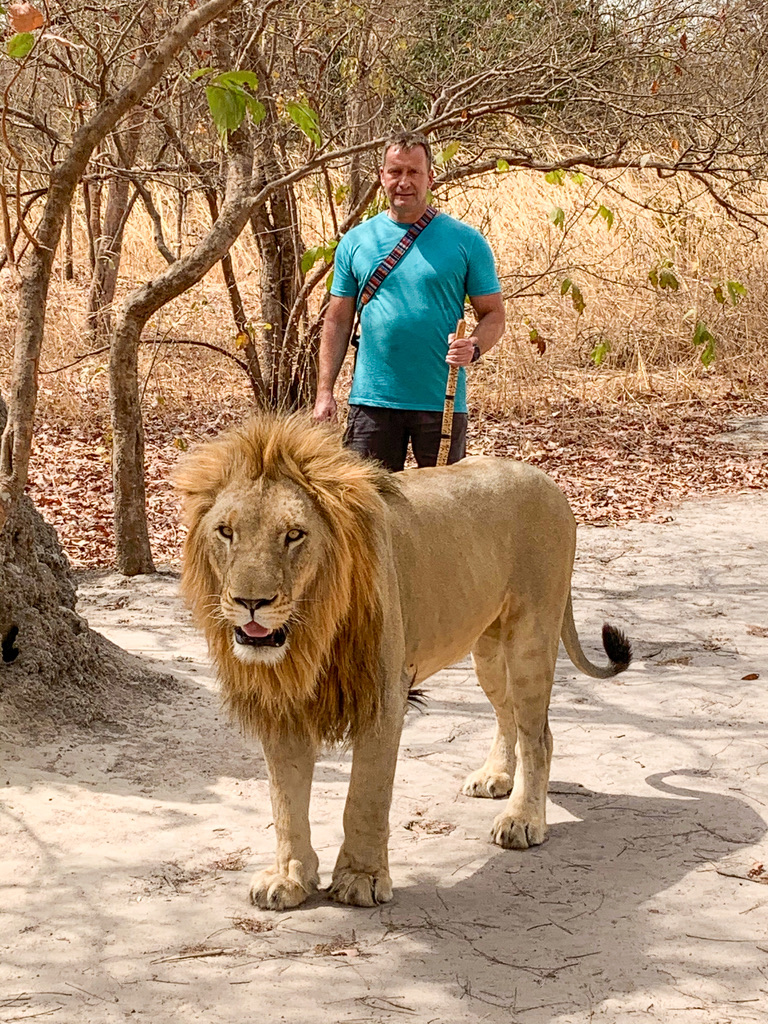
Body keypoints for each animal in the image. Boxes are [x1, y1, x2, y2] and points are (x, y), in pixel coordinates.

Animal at [173, 412, 631, 911]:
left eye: (294, 535)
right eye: (226, 532)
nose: (250, 603)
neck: (309, 633)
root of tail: (547, 479)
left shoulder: (384, 696)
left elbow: (365, 797)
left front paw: (361, 878)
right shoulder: (283, 702)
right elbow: (286, 802)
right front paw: (289, 877)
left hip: (530, 637)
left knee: (539, 736)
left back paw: (523, 820)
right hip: (487, 649)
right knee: (506, 714)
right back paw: (495, 777)